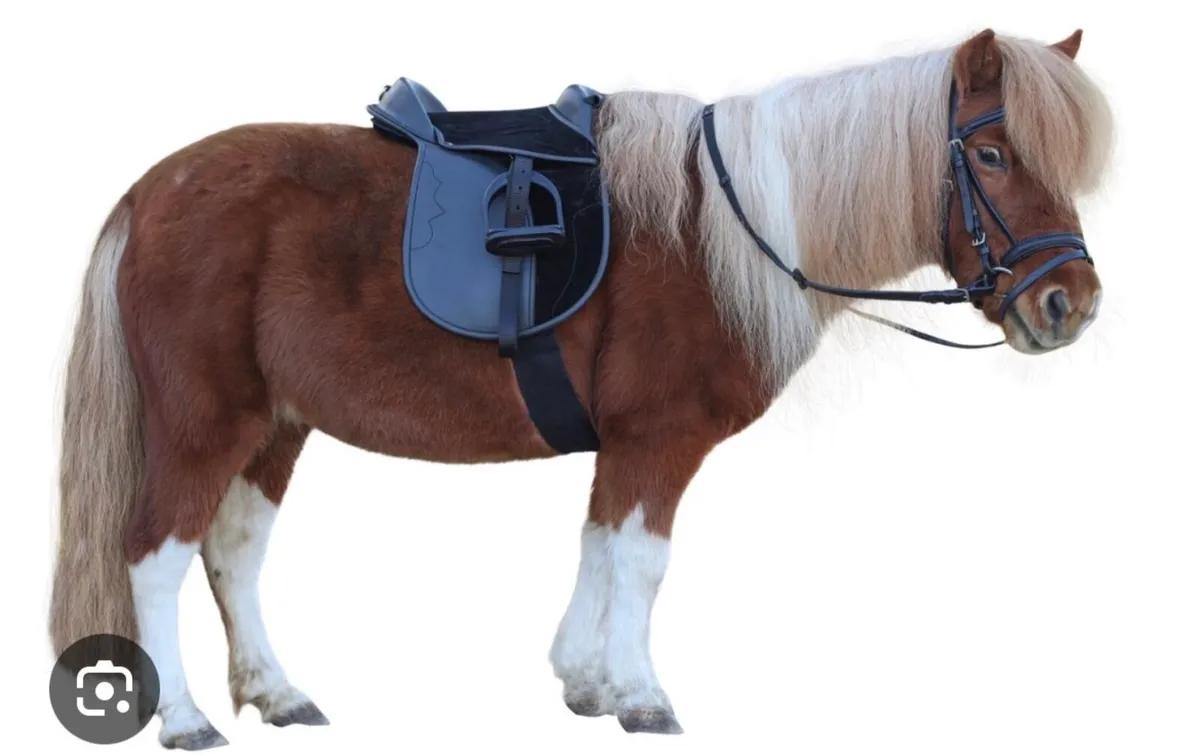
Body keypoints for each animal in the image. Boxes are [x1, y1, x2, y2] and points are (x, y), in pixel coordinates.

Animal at [49, 26, 1114, 749]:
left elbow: (600, 544)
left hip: (275, 424)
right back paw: (185, 716)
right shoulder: (659, 435)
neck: (721, 228)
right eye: (991, 154)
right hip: (203, 422)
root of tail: (150, 191)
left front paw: (584, 680)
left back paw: (277, 691)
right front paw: (640, 696)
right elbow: (641, 560)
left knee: (233, 552)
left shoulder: (627, 444)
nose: (1071, 302)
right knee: (155, 554)